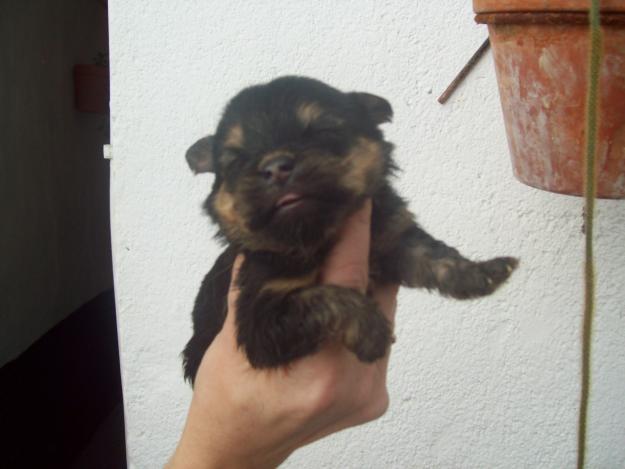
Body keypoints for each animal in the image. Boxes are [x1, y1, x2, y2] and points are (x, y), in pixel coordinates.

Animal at [182, 76, 516, 384]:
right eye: (236, 160)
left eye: (321, 132)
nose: (276, 167)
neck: (317, 234)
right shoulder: (258, 323)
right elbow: (322, 297)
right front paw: (372, 331)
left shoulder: (391, 239)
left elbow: (435, 256)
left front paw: (483, 272)